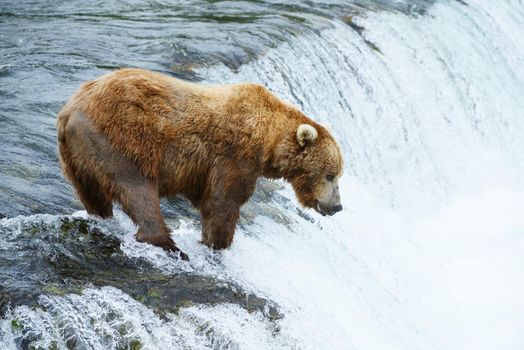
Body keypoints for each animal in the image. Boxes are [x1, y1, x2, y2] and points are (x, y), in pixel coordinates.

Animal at [57, 69, 344, 260]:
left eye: (338, 174)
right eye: (330, 175)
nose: (337, 206)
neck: (267, 142)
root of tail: (70, 110)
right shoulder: (233, 158)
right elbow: (222, 202)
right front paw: (217, 243)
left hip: (77, 159)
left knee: (93, 194)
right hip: (122, 140)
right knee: (138, 190)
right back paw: (170, 245)